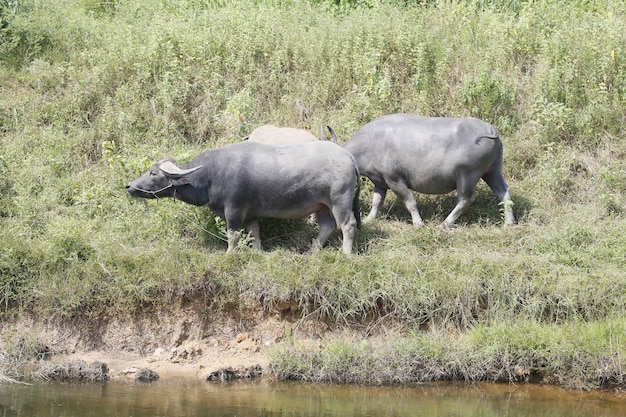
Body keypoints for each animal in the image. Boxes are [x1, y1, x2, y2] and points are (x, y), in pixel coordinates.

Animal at [125, 141, 360, 254]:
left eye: (153, 173)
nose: (129, 186)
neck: (211, 175)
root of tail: (348, 157)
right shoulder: (250, 213)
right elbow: (254, 231)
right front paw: (257, 250)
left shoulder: (234, 209)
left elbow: (233, 235)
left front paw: (230, 253)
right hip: (322, 205)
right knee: (327, 226)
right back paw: (312, 250)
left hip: (339, 200)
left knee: (347, 224)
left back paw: (345, 253)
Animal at [344, 114, 516, 228]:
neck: (371, 143)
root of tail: (490, 129)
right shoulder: (380, 182)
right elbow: (377, 202)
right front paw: (369, 219)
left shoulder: (395, 179)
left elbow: (410, 202)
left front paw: (418, 223)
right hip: (492, 171)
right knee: (503, 191)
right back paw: (509, 221)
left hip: (467, 175)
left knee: (465, 199)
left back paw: (445, 224)